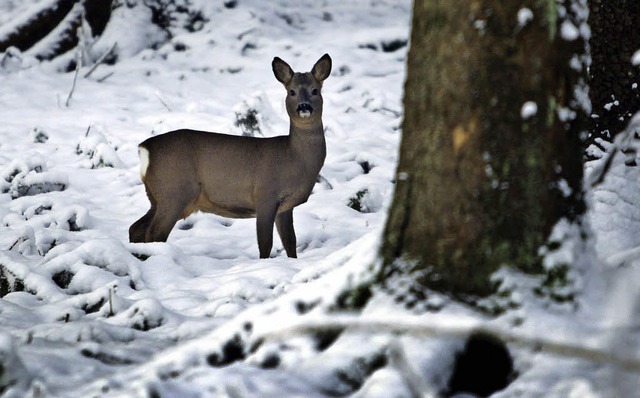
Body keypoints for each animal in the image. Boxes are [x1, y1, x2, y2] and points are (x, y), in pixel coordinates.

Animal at [128, 53, 332, 258]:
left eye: (315, 90)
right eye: (291, 92)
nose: (304, 107)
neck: (294, 158)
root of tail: (144, 148)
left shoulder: (285, 206)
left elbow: (290, 241)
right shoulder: (265, 194)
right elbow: (265, 243)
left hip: (157, 195)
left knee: (136, 228)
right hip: (175, 190)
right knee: (155, 233)